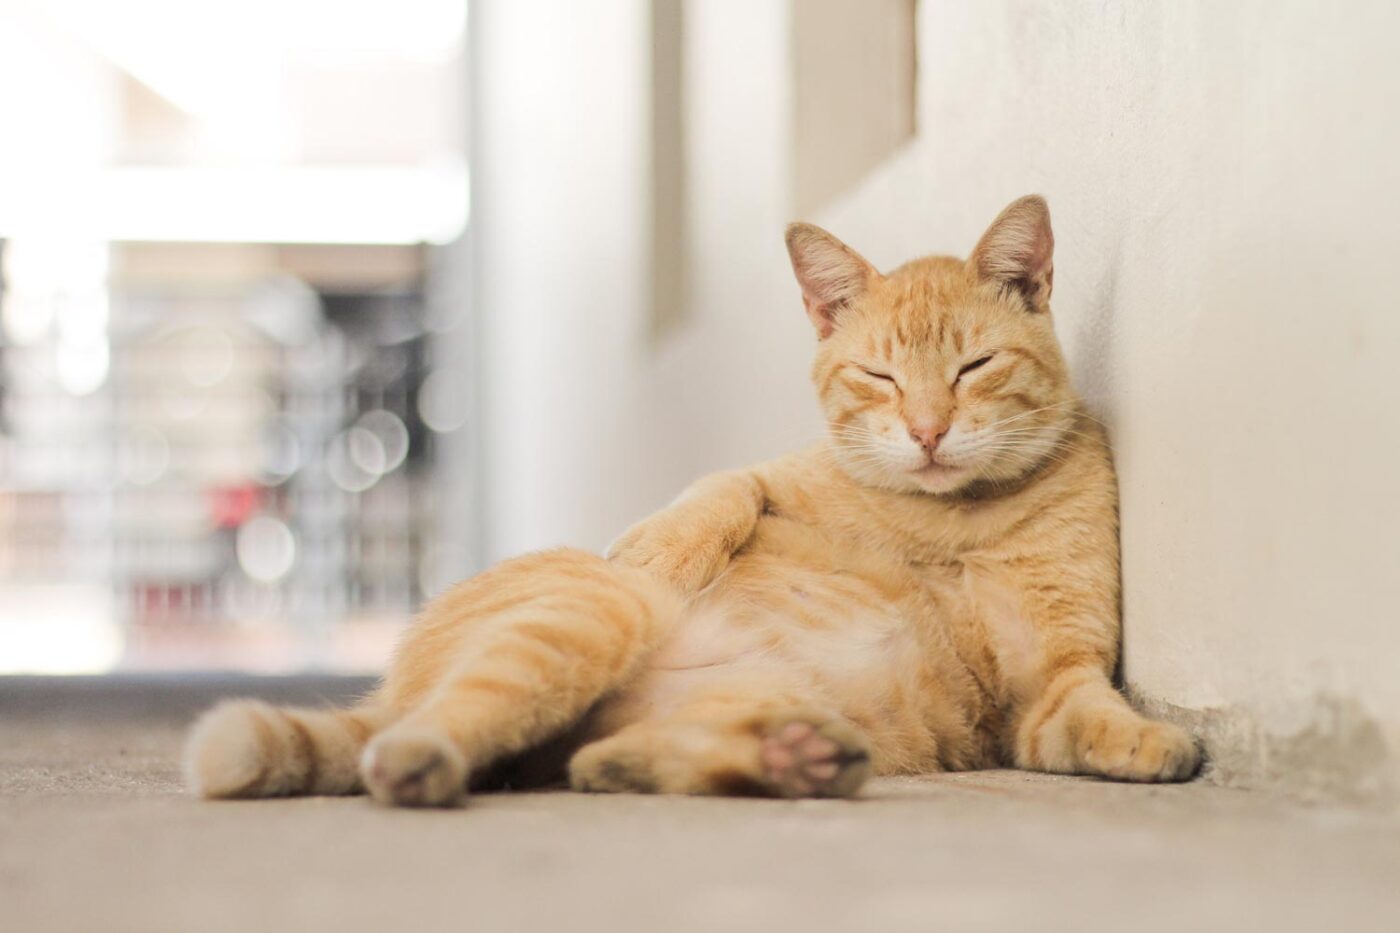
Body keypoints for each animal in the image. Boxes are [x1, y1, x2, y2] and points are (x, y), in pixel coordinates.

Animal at [183, 194, 1204, 801]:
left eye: (974, 367)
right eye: (879, 376)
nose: (925, 431)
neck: (952, 522)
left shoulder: (1052, 686)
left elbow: (1094, 718)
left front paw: (1157, 742)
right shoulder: (771, 474)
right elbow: (724, 486)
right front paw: (673, 544)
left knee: (595, 761)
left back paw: (788, 760)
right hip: (588, 616)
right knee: (444, 725)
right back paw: (419, 760)